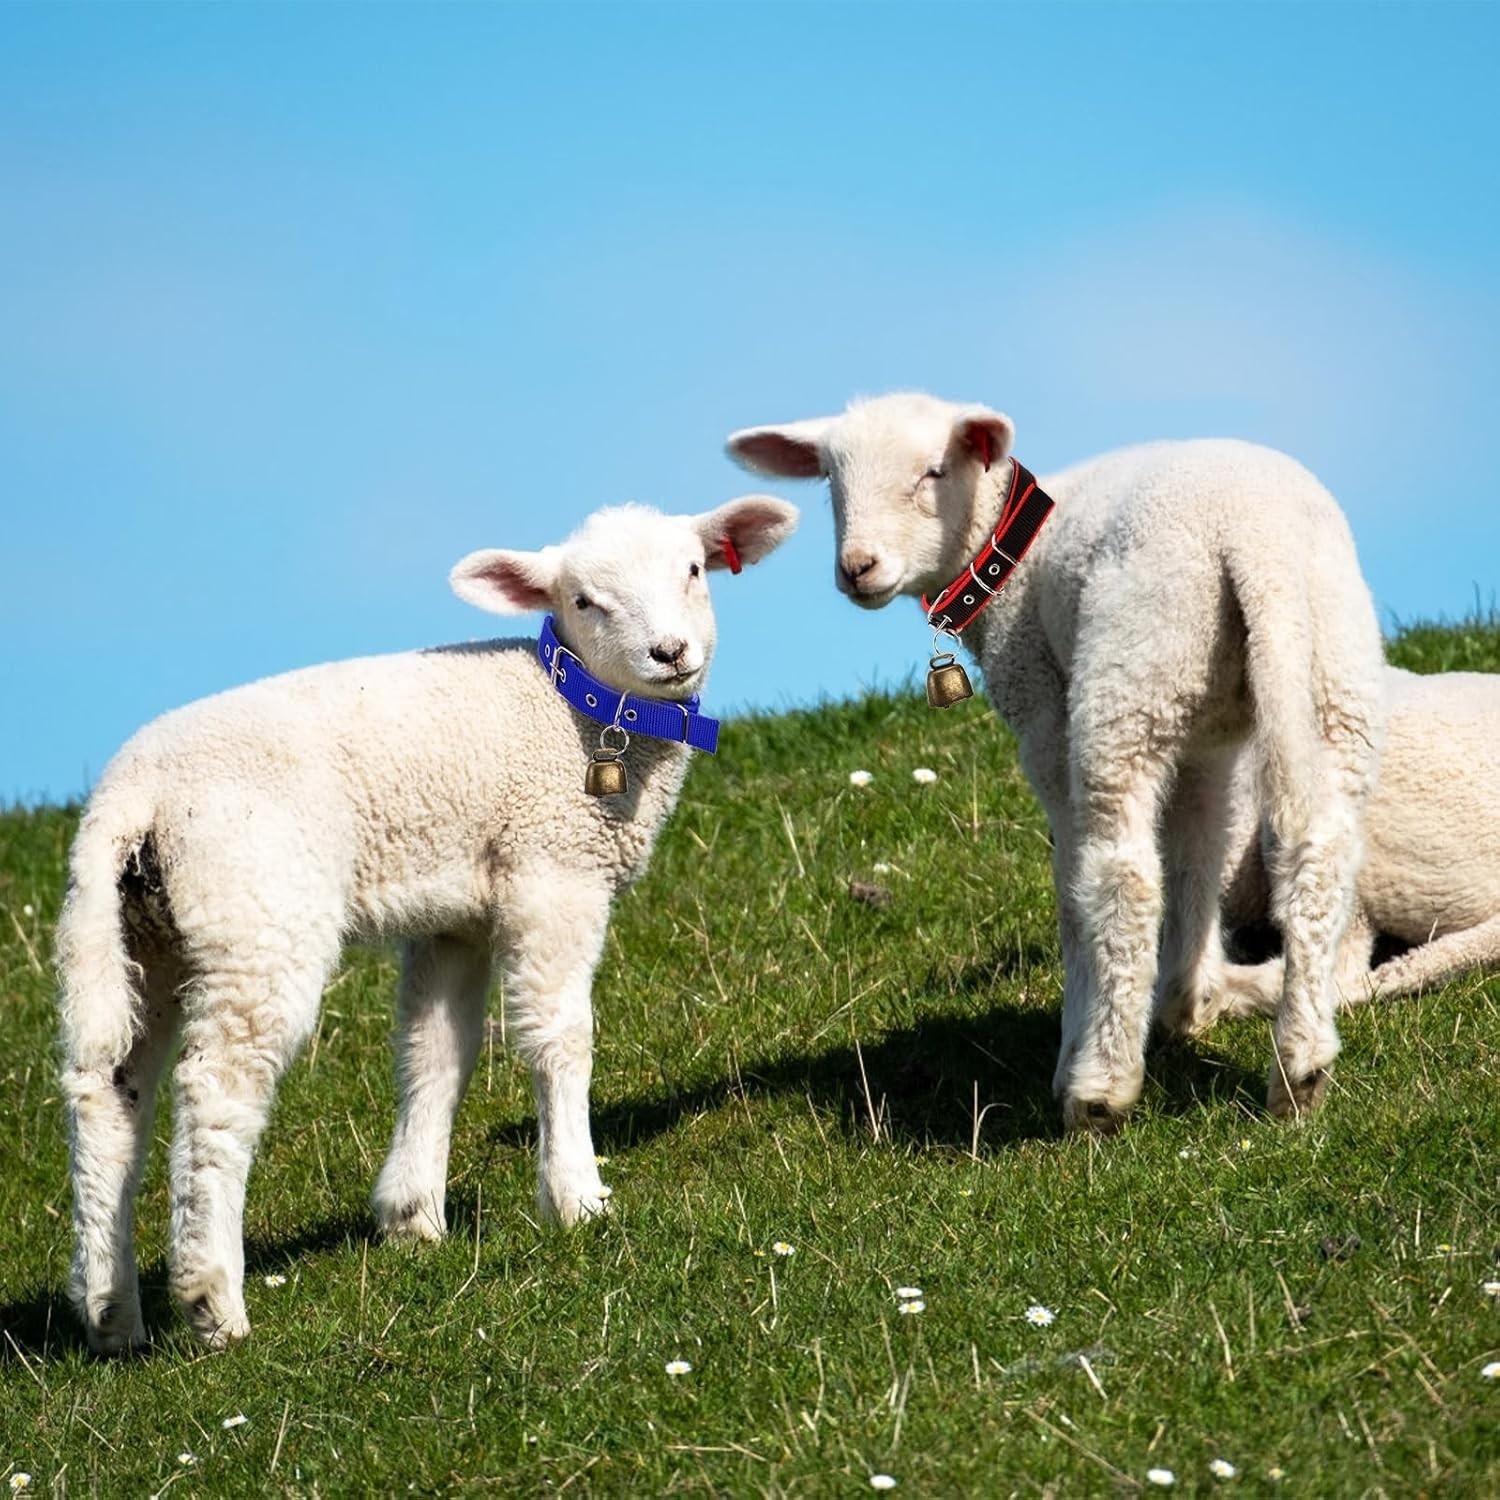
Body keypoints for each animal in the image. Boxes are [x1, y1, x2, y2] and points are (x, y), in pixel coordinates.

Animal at [56, 495, 798, 1353]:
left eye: (694, 569)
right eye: (584, 601)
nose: (670, 653)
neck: (577, 708)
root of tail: (130, 796)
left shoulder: (459, 914)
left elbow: (436, 1054)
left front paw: (412, 1218)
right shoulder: (552, 869)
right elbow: (559, 1036)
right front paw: (575, 1197)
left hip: (141, 934)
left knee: (109, 1091)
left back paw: (113, 1313)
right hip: (256, 909)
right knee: (216, 1088)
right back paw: (213, 1302)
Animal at [728, 392, 1385, 1132]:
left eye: (933, 472)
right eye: (830, 482)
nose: (857, 568)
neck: (1009, 550)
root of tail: (1255, 539)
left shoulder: (1042, 707)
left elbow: (1076, 886)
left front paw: (1086, 1037)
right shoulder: (1208, 740)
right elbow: (1199, 854)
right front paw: (1189, 1001)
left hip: (1133, 668)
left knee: (1123, 876)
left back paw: (1100, 1086)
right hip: (1324, 664)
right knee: (1320, 846)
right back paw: (1302, 1064)